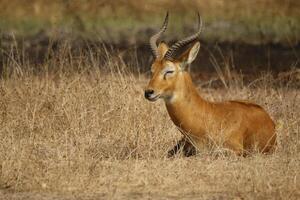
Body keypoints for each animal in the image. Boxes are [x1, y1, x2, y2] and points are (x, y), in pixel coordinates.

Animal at [144, 12, 276, 157]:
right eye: (152, 69)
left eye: (169, 70)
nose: (149, 92)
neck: (206, 115)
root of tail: (269, 120)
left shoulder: (232, 150)